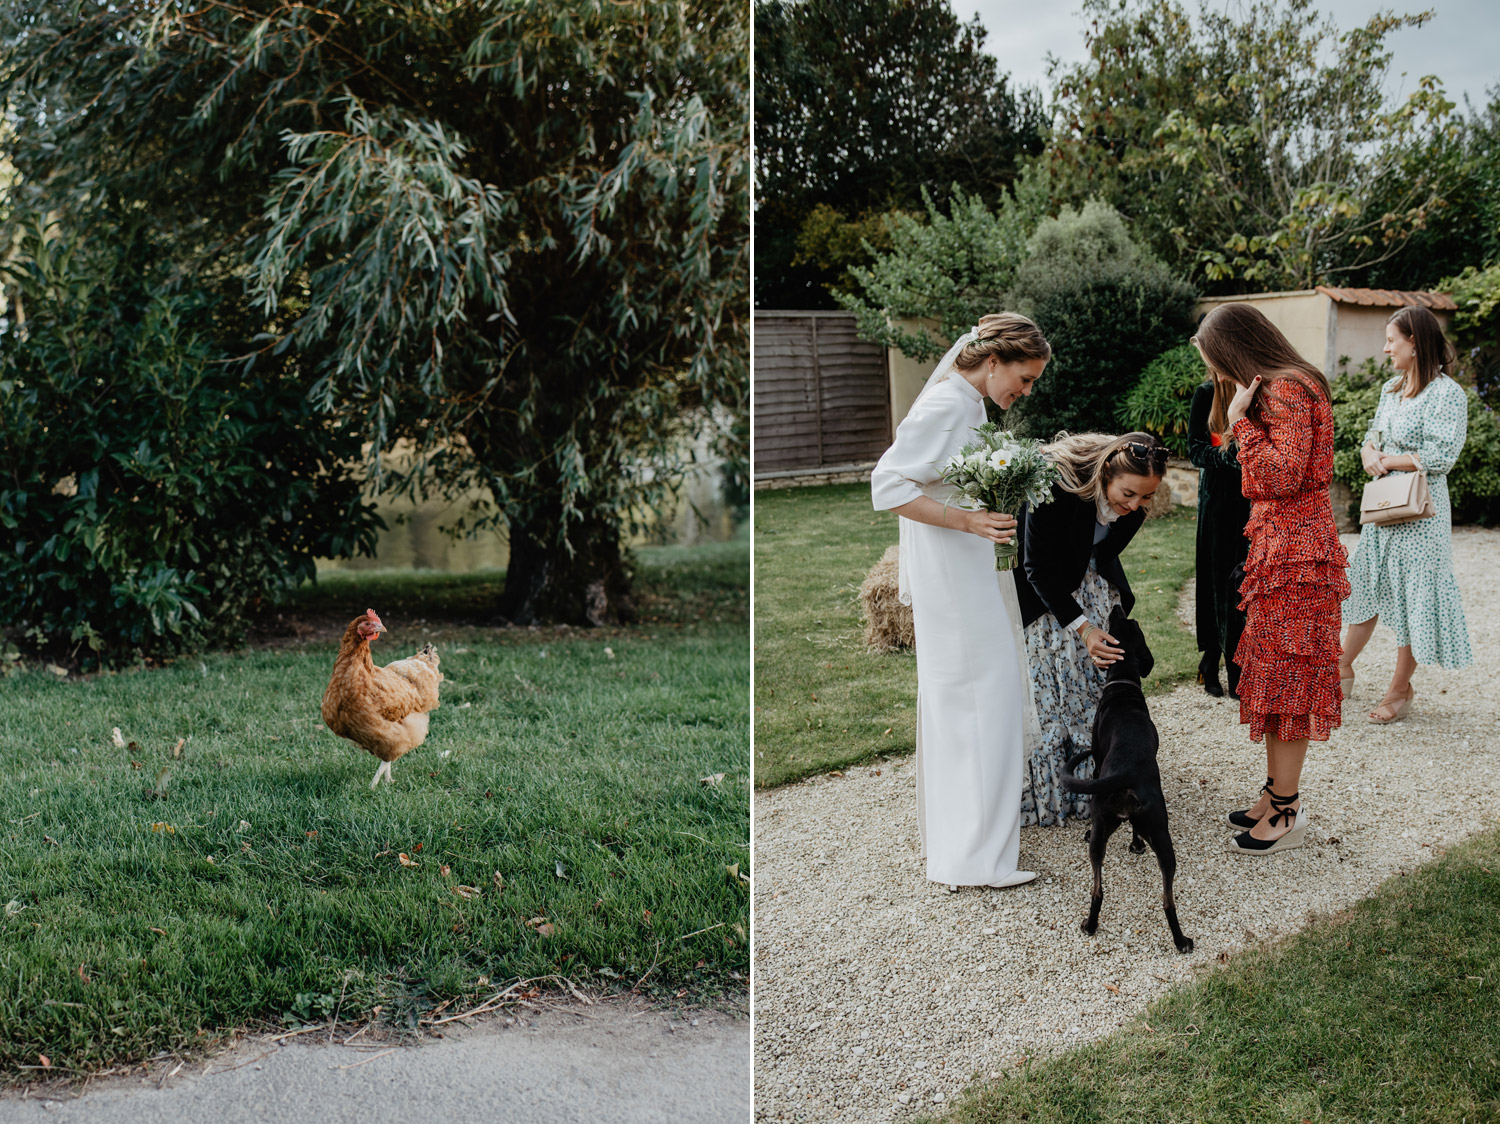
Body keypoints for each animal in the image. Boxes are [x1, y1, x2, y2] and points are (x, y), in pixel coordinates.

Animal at [1068, 609, 1194, 954]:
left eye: (1122, 623)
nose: (1117, 607)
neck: (1123, 685)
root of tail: (1128, 771)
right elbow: (1136, 831)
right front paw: (1136, 845)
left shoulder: (1096, 764)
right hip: (1157, 839)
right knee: (1155, 898)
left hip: (1109, 830)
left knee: (1112, 891)